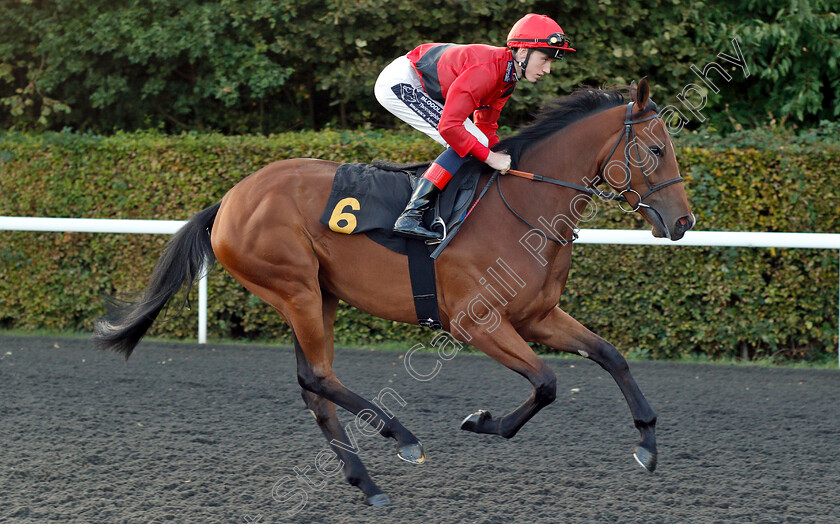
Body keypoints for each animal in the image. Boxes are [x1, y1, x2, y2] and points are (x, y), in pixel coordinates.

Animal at [93, 79, 696, 508]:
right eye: (654, 149)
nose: (684, 222)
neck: (522, 207)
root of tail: (231, 200)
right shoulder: (477, 322)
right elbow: (547, 383)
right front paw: (482, 422)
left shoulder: (538, 315)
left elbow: (609, 355)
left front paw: (647, 444)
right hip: (296, 290)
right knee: (319, 378)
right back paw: (401, 436)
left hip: (316, 294)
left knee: (313, 387)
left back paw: (366, 483)